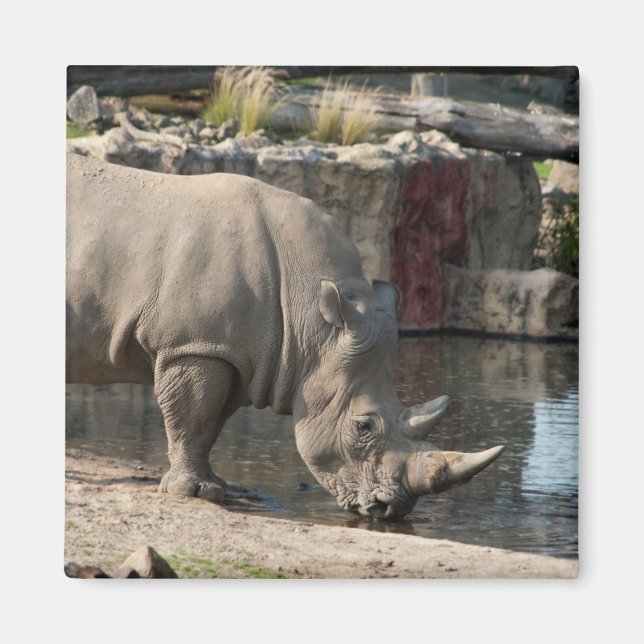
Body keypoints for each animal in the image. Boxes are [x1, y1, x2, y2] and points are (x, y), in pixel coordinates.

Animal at [66, 152, 504, 520]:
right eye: (364, 427)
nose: (389, 509)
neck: (313, 320)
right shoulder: (195, 346)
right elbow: (192, 416)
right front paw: (193, 493)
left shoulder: (239, 355)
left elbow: (210, 422)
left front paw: (215, 485)